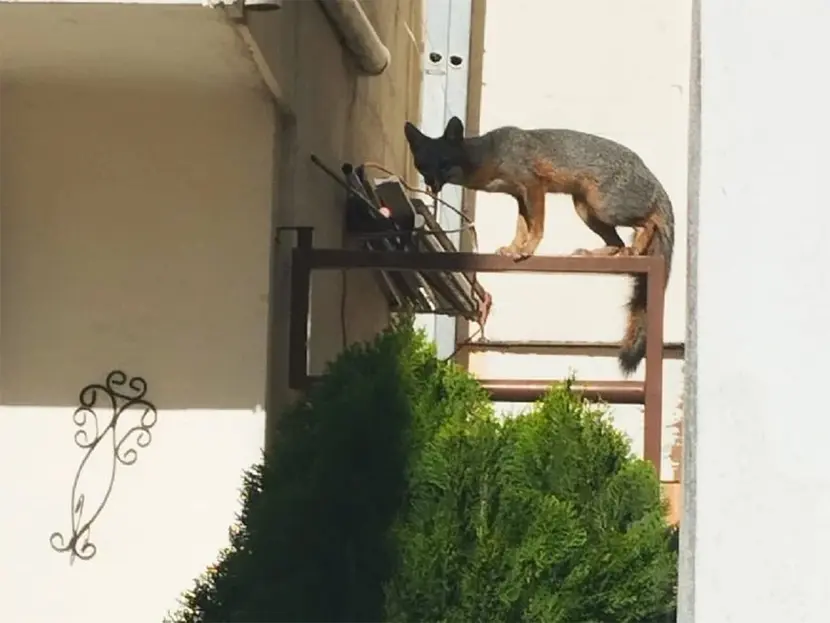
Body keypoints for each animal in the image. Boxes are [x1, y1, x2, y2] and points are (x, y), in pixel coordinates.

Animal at [403, 116, 674, 376]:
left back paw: (635, 249)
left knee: (649, 222)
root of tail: (649, 172)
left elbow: (536, 227)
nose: (431, 185)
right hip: (585, 209)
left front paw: (528, 249)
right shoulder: (518, 195)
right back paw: (599, 253)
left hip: (605, 208)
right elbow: (521, 228)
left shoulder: (533, 186)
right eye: (422, 165)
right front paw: (513, 248)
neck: (490, 153)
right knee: (617, 242)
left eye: (444, 163)